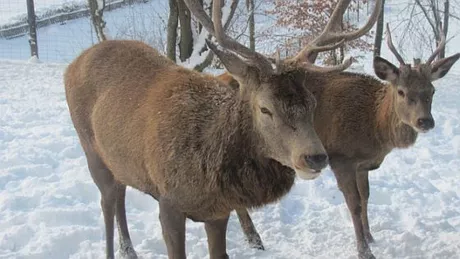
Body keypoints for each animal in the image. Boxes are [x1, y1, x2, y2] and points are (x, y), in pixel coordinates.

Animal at [61, 0, 378, 258]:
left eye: (312, 102)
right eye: (265, 108)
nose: (315, 157)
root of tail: (73, 63)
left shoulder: (218, 211)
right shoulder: (168, 202)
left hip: (120, 161)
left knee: (120, 193)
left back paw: (129, 250)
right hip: (90, 149)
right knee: (107, 202)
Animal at [217, 18, 458, 259]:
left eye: (432, 91)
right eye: (401, 91)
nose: (425, 121)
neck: (374, 129)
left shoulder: (363, 165)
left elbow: (366, 197)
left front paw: (370, 236)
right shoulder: (341, 158)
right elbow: (354, 204)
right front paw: (364, 249)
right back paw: (254, 239)